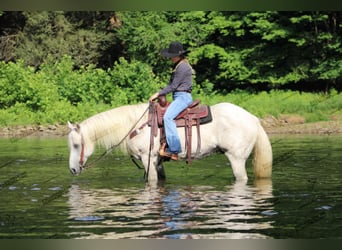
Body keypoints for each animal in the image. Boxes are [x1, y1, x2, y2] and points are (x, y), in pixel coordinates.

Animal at [67, 101, 272, 184]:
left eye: (76, 145)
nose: (72, 170)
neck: (135, 125)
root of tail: (253, 119)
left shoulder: (147, 158)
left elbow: (151, 181)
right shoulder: (157, 160)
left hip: (236, 158)